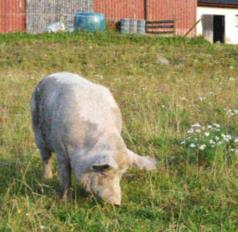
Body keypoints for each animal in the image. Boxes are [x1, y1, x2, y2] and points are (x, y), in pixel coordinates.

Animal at [30, 72, 157, 205]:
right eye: (104, 173)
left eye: (121, 175)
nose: (116, 204)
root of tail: (51, 75)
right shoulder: (61, 151)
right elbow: (65, 177)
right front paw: (65, 201)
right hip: (37, 130)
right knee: (45, 156)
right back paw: (46, 179)